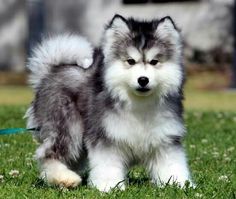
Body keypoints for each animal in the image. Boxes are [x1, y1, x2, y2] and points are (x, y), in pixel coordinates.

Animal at [25, 14, 193, 191]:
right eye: (130, 61)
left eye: (154, 61)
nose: (143, 80)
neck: (139, 103)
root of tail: (51, 70)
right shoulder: (106, 137)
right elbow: (108, 165)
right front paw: (109, 186)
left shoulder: (165, 139)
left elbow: (172, 164)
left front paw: (180, 184)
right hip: (68, 127)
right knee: (47, 154)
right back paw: (65, 178)